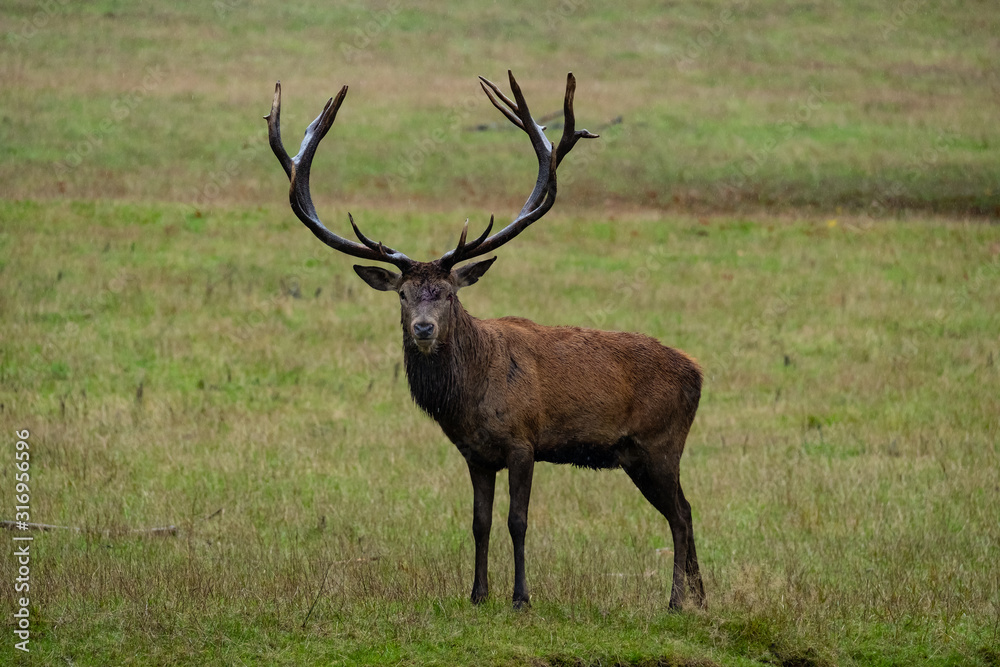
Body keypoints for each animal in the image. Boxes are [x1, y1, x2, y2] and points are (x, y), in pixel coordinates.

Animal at [266, 72, 704, 612]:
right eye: (404, 294)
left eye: (449, 293)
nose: (424, 328)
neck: (469, 399)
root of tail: (699, 373)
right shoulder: (475, 454)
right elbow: (479, 523)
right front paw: (477, 593)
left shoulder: (523, 441)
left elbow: (518, 521)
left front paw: (520, 597)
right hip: (644, 453)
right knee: (688, 511)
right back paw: (702, 598)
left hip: (658, 444)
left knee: (680, 515)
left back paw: (676, 601)